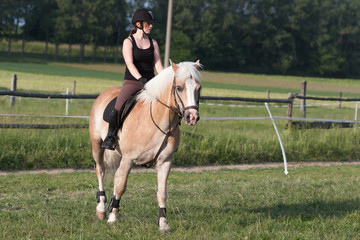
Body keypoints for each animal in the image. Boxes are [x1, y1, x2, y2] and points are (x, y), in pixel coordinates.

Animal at [89, 60, 202, 232]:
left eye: (198, 88)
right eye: (179, 87)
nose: (192, 117)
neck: (159, 119)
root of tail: (105, 93)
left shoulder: (165, 162)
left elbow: (162, 192)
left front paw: (163, 224)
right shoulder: (128, 159)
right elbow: (121, 186)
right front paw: (112, 218)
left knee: (115, 176)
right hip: (97, 146)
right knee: (100, 170)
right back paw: (102, 209)